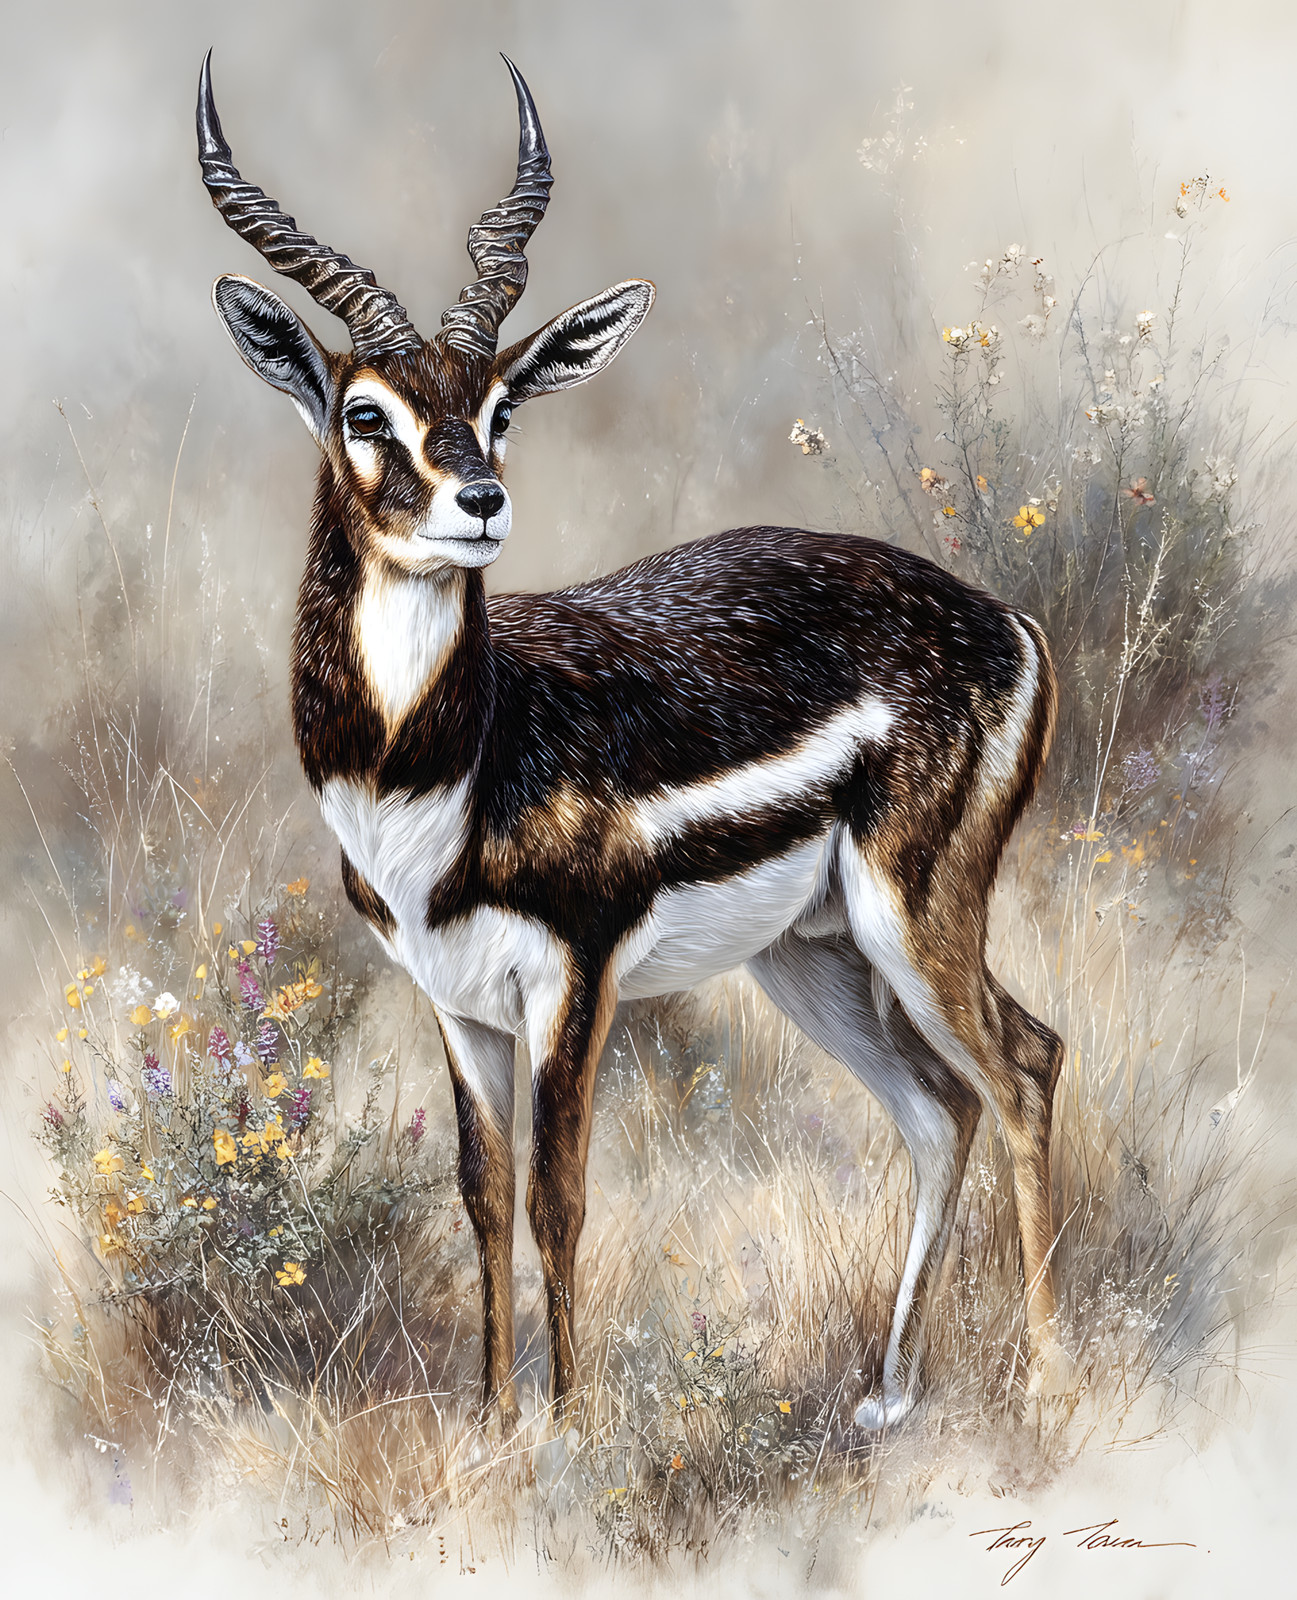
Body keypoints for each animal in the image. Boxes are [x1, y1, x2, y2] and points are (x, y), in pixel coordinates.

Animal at [196, 51, 1066, 1431]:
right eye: (366, 413)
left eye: (500, 404)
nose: (480, 502)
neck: (447, 768)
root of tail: (1008, 620)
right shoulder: (457, 1002)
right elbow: (482, 1195)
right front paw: (495, 1422)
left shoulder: (576, 977)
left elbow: (559, 1194)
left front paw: (568, 1426)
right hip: (813, 955)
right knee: (937, 1112)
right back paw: (887, 1397)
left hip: (913, 914)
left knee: (1024, 1065)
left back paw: (1046, 1383)